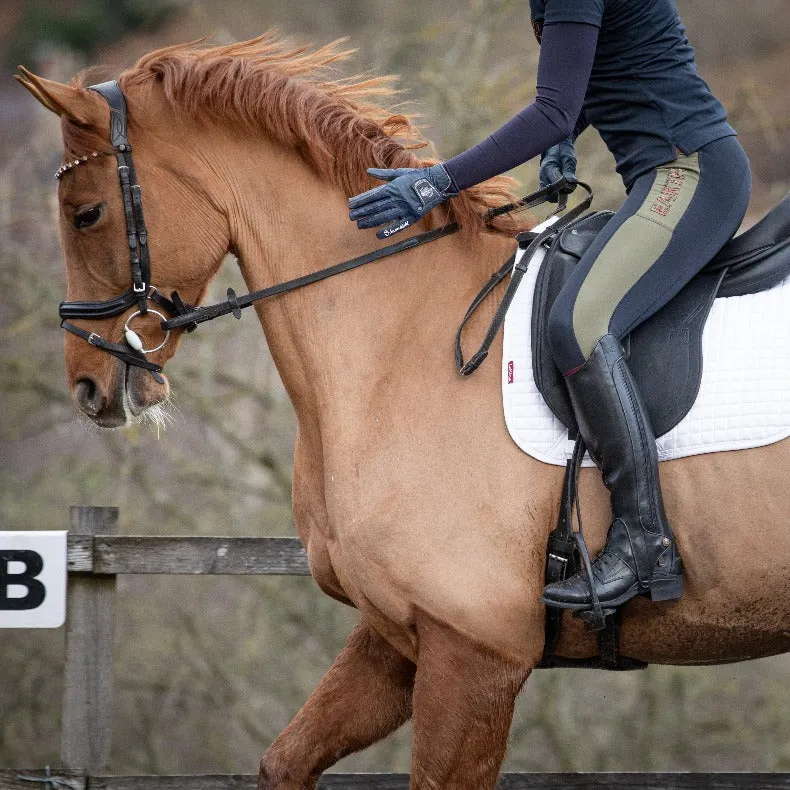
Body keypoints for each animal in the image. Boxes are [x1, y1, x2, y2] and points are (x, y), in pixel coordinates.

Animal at [15, 35, 790, 790]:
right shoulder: (399, 635)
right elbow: (284, 761)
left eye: (86, 214)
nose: (87, 385)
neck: (400, 340)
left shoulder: (474, 653)